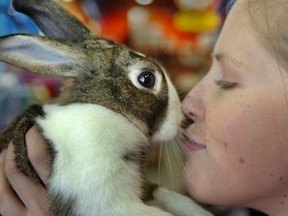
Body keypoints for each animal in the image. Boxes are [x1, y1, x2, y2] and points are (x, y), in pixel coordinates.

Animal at [0, 0, 213, 216]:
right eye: (147, 79)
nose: (181, 119)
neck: (111, 113)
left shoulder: (146, 188)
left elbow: (176, 199)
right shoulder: (110, 204)